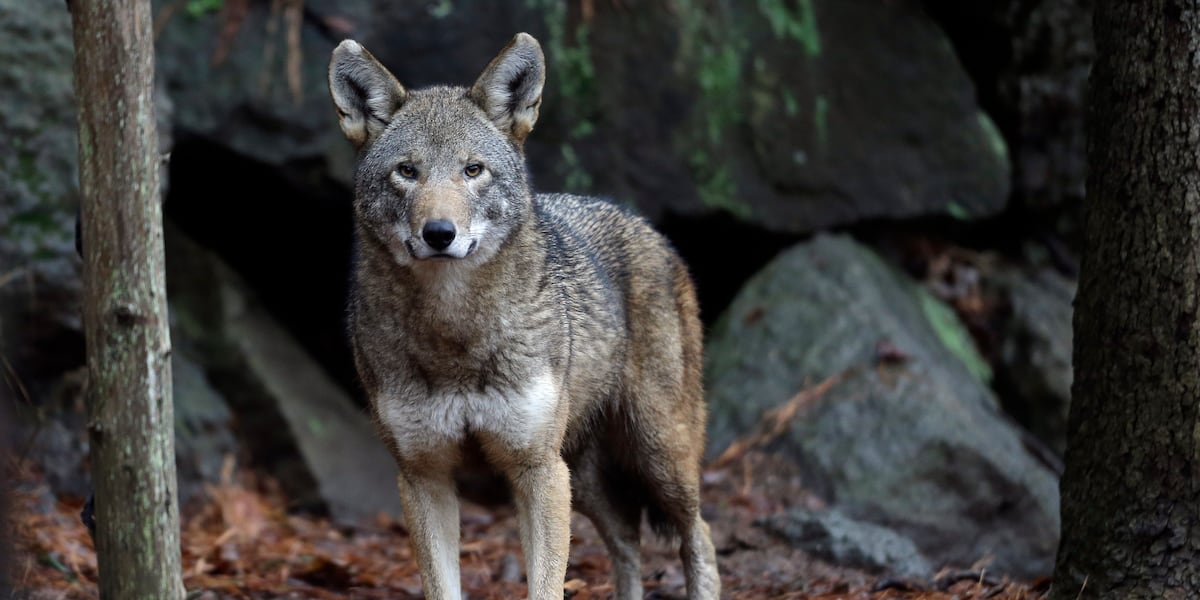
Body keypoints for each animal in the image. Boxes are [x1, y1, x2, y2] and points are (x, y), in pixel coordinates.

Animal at [328, 32, 720, 600]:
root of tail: (646, 225)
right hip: (586, 477)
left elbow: (547, 585)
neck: (455, 336)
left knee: (700, 534)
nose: (439, 233)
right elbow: (442, 587)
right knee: (627, 542)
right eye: (407, 171)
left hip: (657, 456)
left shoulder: (537, 469)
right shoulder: (423, 475)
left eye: (473, 170)